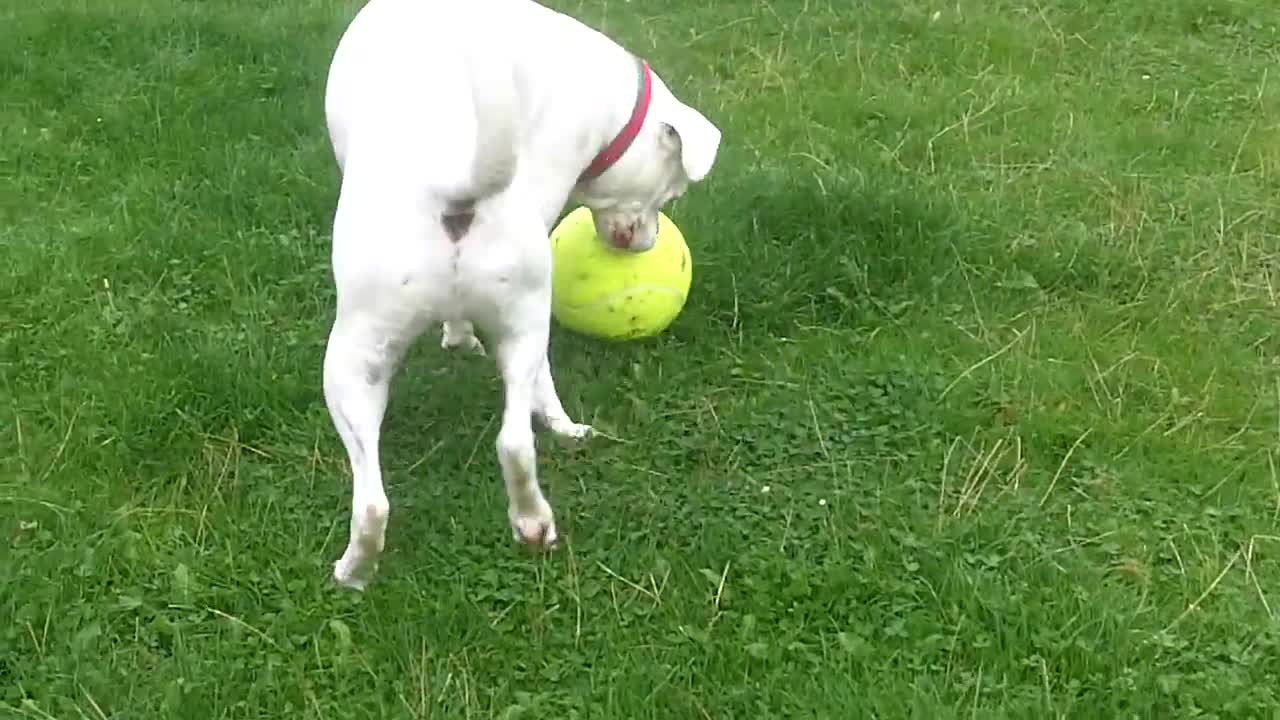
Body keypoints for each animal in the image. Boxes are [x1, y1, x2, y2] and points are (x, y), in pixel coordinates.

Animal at [320, 0, 721, 586]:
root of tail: (456, 190)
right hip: (494, 328)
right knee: (505, 441)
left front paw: (458, 339)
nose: (647, 243)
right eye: (672, 190)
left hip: (358, 359)